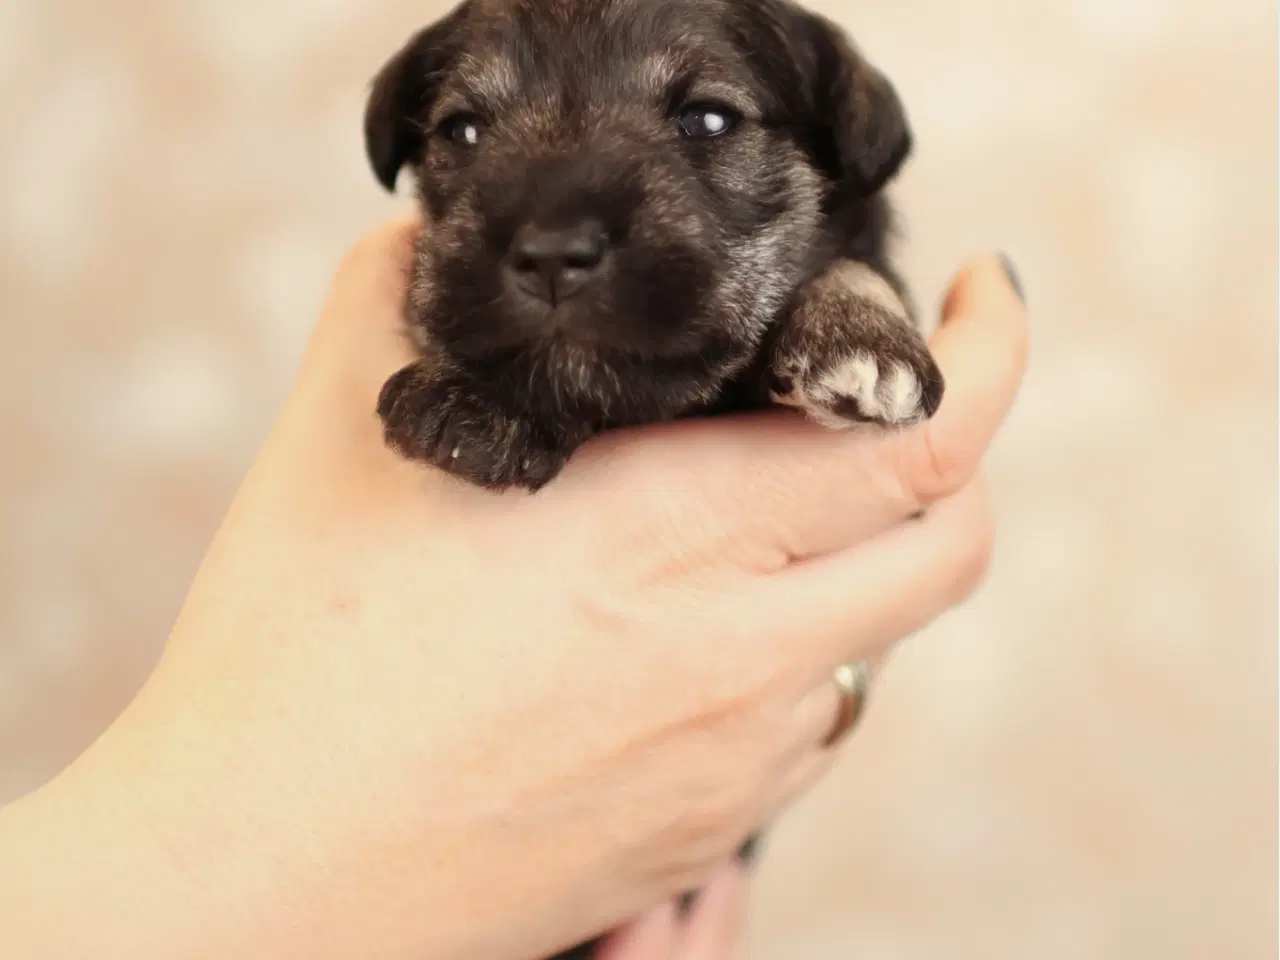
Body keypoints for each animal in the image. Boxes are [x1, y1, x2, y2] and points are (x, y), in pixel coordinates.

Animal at [360, 0, 942, 496]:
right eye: (463, 130)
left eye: (709, 119)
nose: (551, 255)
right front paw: (482, 391)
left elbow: (854, 264)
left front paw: (861, 331)